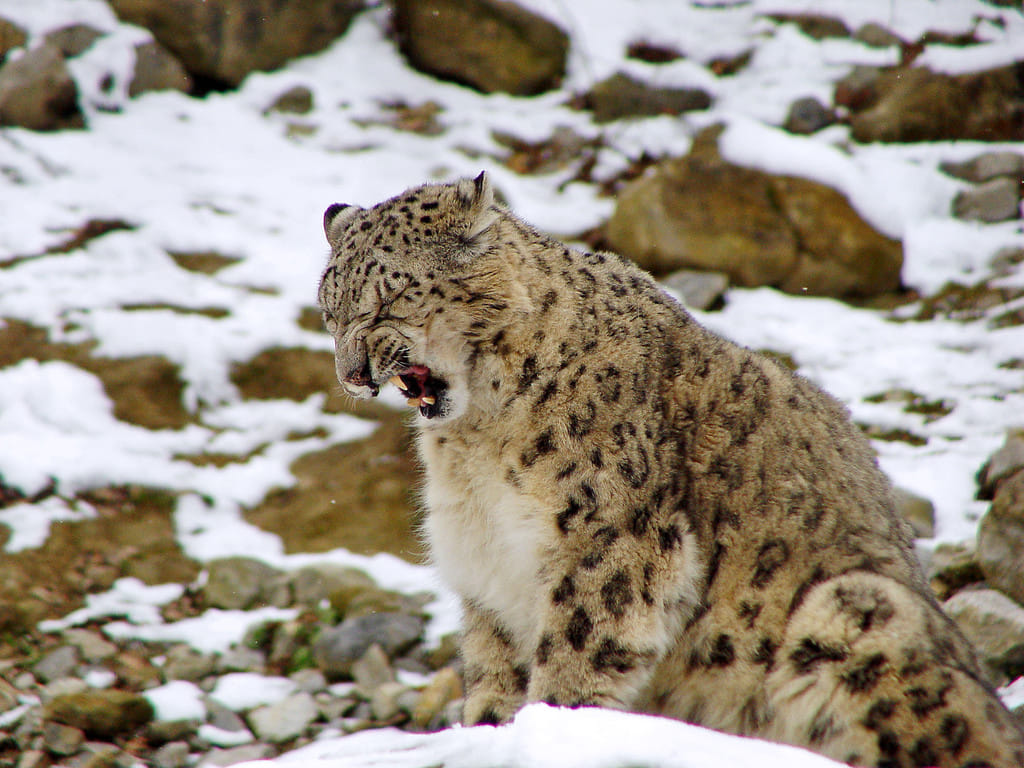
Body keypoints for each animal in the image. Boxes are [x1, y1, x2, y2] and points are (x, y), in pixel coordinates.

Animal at [317, 172, 1024, 767]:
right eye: (331, 311)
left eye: (386, 300)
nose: (351, 374)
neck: (476, 442)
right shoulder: (485, 566)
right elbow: (495, 662)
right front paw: (491, 728)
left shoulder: (605, 538)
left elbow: (576, 646)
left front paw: (553, 725)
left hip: (856, 610)